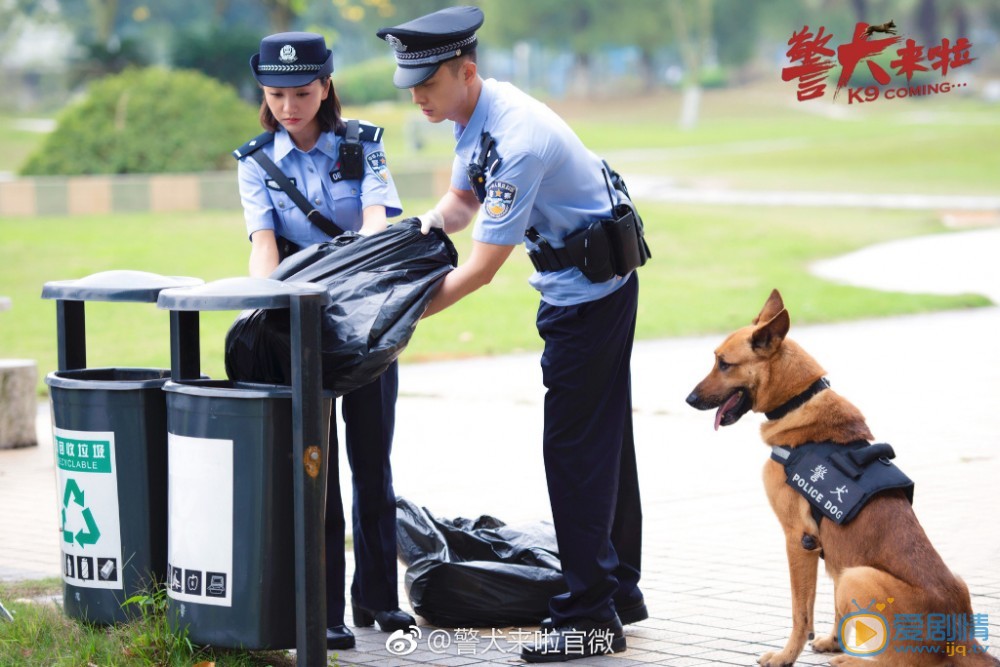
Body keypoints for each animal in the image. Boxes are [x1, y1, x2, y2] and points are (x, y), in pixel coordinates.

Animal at [684, 290, 996, 664]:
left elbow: (800, 611)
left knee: (898, 659)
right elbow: (834, 605)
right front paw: (833, 640)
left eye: (723, 363)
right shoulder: (831, 552)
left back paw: (853, 659)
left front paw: (786, 656)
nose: (689, 399)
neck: (798, 400)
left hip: (858, 577)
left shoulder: (798, 539)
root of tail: (958, 637)